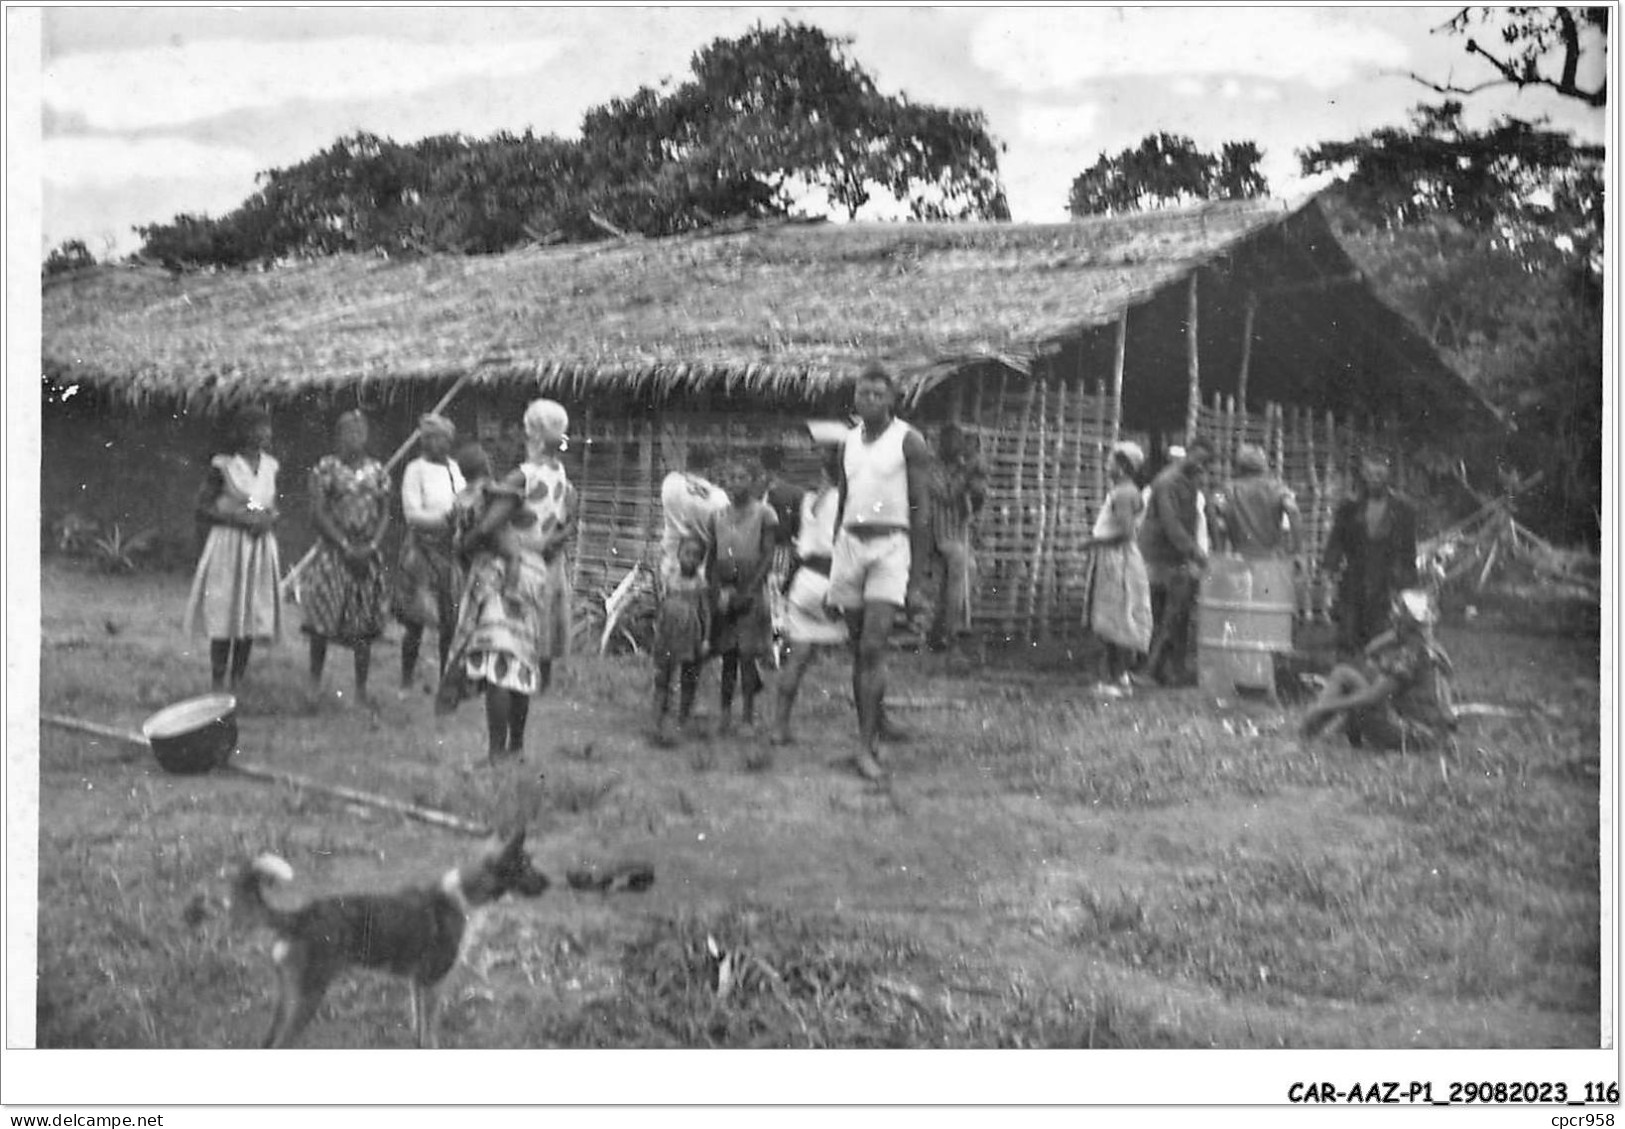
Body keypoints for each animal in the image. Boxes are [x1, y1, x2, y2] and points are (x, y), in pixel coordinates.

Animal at [232, 831, 552, 1052]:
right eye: (526, 866)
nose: (551, 883)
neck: (464, 895)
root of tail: (300, 915)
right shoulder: (433, 982)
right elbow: (431, 1033)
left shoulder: (418, 983)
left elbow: (419, 1031)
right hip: (309, 997)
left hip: (287, 998)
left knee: (267, 1042)